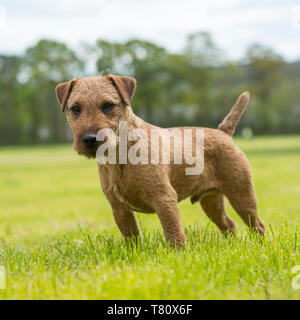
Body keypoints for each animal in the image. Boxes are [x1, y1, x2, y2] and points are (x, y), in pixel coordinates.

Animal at [55, 75, 264, 248]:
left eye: (107, 105)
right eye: (75, 108)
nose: (90, 139)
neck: (121, 154)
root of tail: (223, 132)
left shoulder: (164, 198)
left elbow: (174, 234)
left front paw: (179, 257)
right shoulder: (119, 208)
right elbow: (131, 237)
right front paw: (134, 255)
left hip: (241, 193)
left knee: (257, 224)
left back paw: (259, 247)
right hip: (211, 201)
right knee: (229, 225)